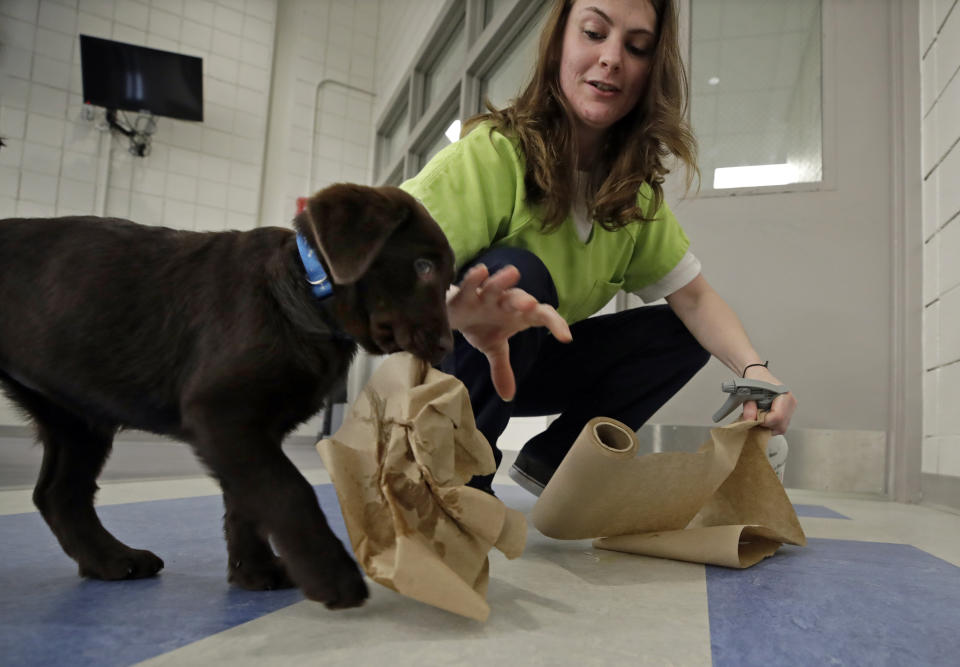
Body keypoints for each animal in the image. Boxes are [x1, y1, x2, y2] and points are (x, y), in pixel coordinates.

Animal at [0, 183, 456, 612]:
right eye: (423, 267)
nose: (448, 345)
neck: (303, 293)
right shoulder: (221, 414)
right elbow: (287, 490)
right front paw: (330, 575)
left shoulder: (249, 431)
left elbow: (247, 502)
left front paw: (254, 571)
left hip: (75, 415)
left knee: (59, 493)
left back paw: (111, 560)